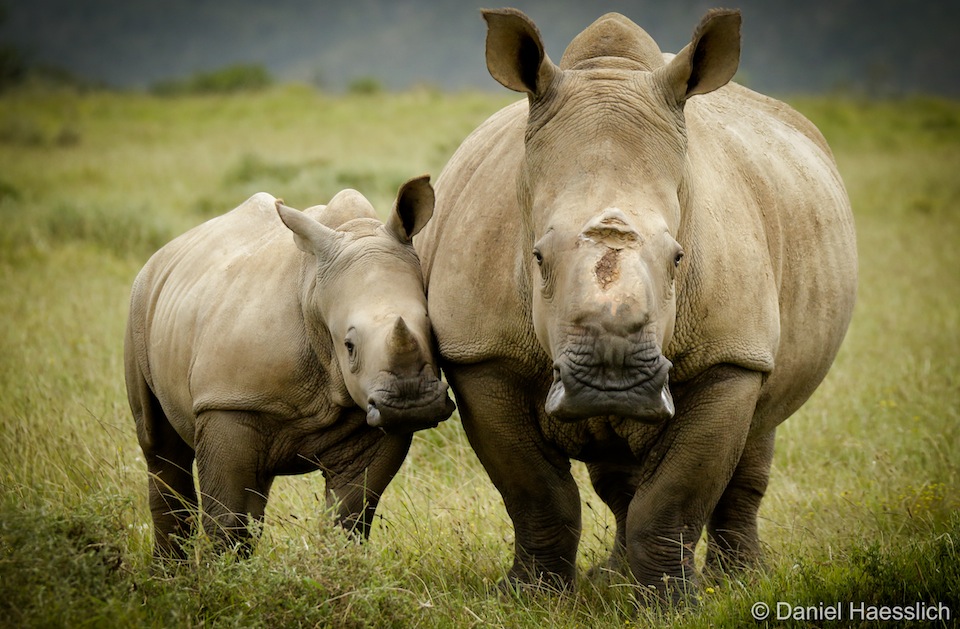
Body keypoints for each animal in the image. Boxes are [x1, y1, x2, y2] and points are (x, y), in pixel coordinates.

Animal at [124, 175, 454, 556]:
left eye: (432, 331)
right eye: (349, 346)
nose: (412, 403)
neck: (313, 296)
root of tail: (161, 255)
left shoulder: (374, 418)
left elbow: (350, 513)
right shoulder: (227, 401)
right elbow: (228, 517)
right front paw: (227, 571)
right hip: (139, 303)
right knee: (159, 447)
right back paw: (168, 568)